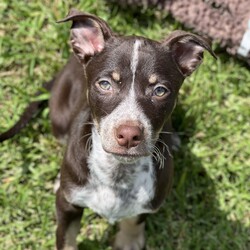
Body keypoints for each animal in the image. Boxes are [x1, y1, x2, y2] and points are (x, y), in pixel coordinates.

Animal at [0, 8, 215, 250]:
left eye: (160, 90)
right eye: (105, 84)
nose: (129, 135)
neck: (118, 171)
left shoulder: (149, 202)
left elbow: (134, 220)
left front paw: (129, 241)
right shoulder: (68, 207)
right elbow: (67, 238)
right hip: (59, 120)